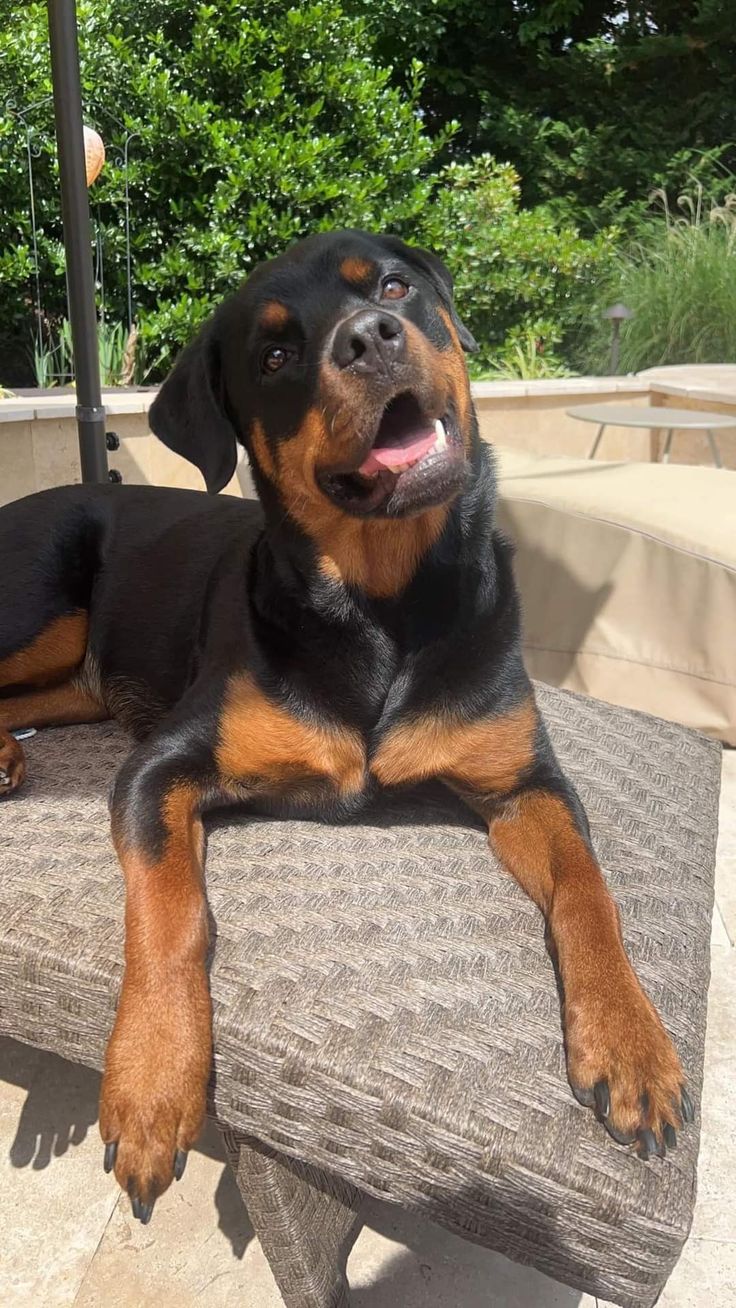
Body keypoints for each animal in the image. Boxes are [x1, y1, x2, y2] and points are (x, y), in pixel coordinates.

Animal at [0, 230, 690, 1219]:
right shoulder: (159, 767)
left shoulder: (527, 782)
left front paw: (632, 1044)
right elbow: (171, 915)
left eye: (394, 286)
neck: (382, 602)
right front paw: (153, 1081)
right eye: (275, 354)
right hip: (44, 597)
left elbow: (589, 890)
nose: (370, 337)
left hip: (76, 672)